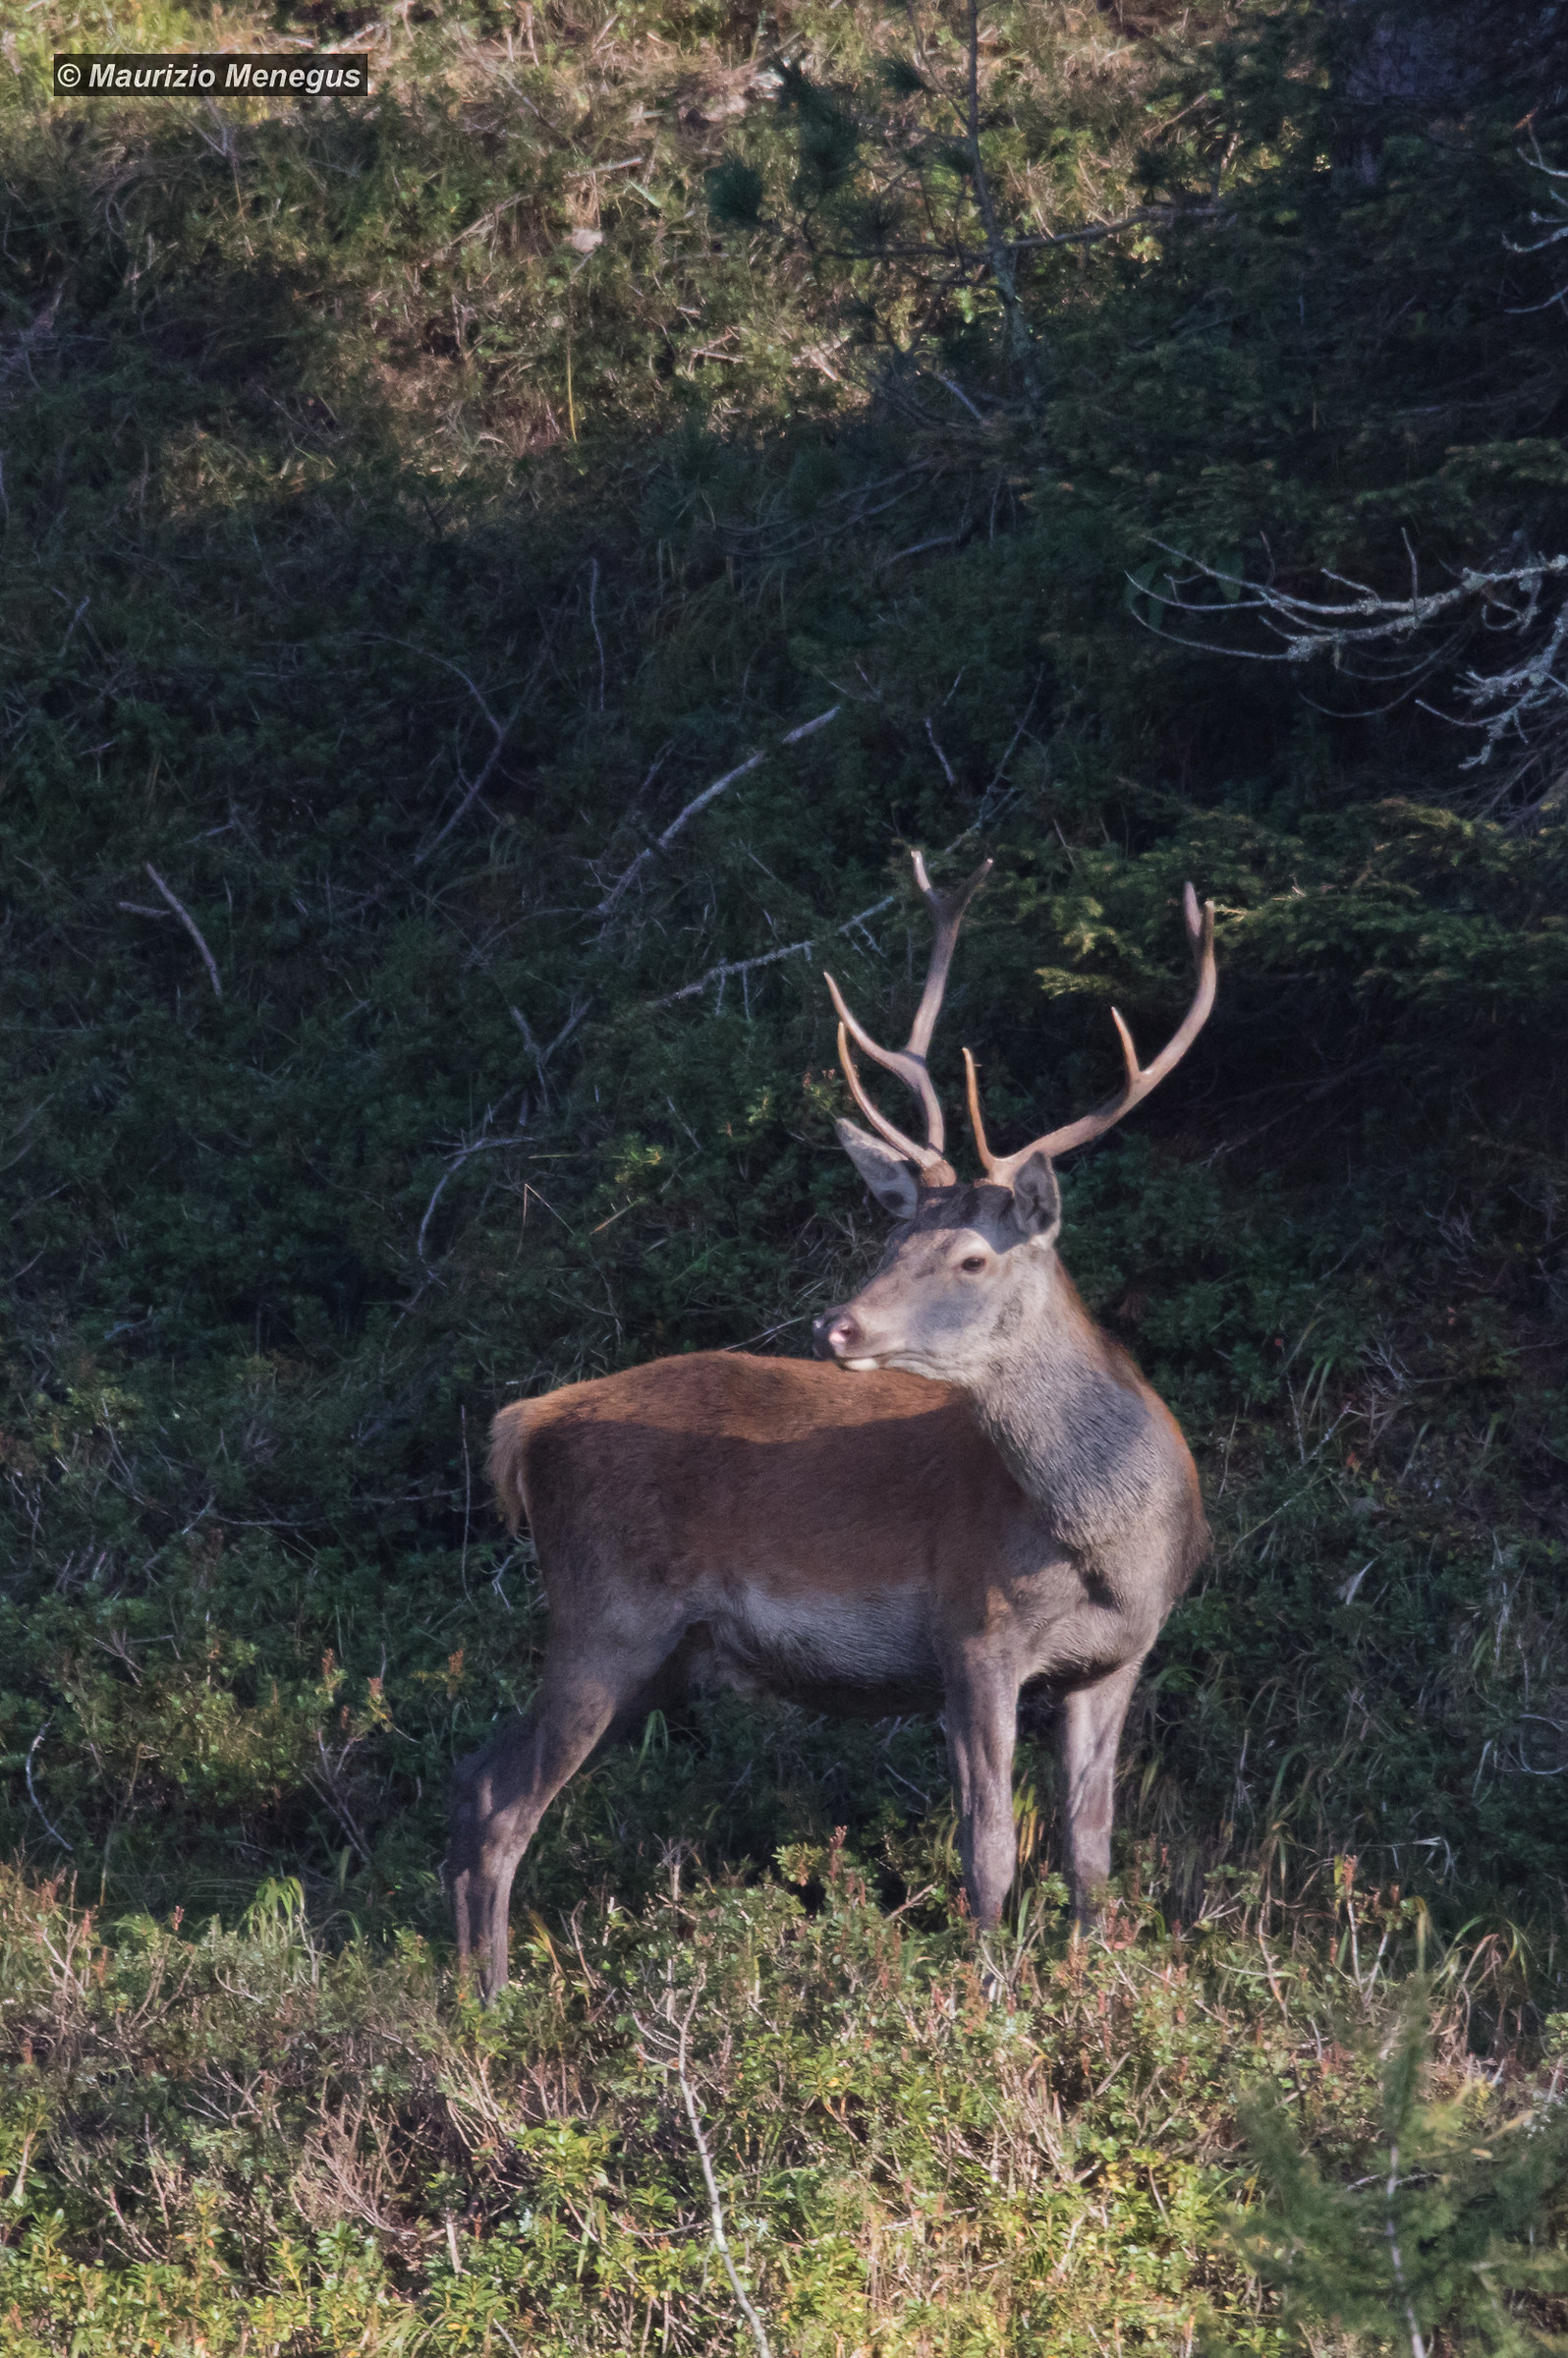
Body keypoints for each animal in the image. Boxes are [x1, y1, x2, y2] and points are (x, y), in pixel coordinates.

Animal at [449, 854, 1216, 1995]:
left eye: (972, 1257)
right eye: (895, 1236)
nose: (836, 1323)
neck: (1109, 1542)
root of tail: (525, 1425)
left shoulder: (1115, 1659)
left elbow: (1089, 1854)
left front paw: (1085, 1985)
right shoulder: (971, 1633)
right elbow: (989, 1849)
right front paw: (990, 2002)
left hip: (653, 1652)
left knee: (474, 1780)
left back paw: (463, 1995)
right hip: (605, 1612)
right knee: (503, 1806)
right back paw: (492, 2009)